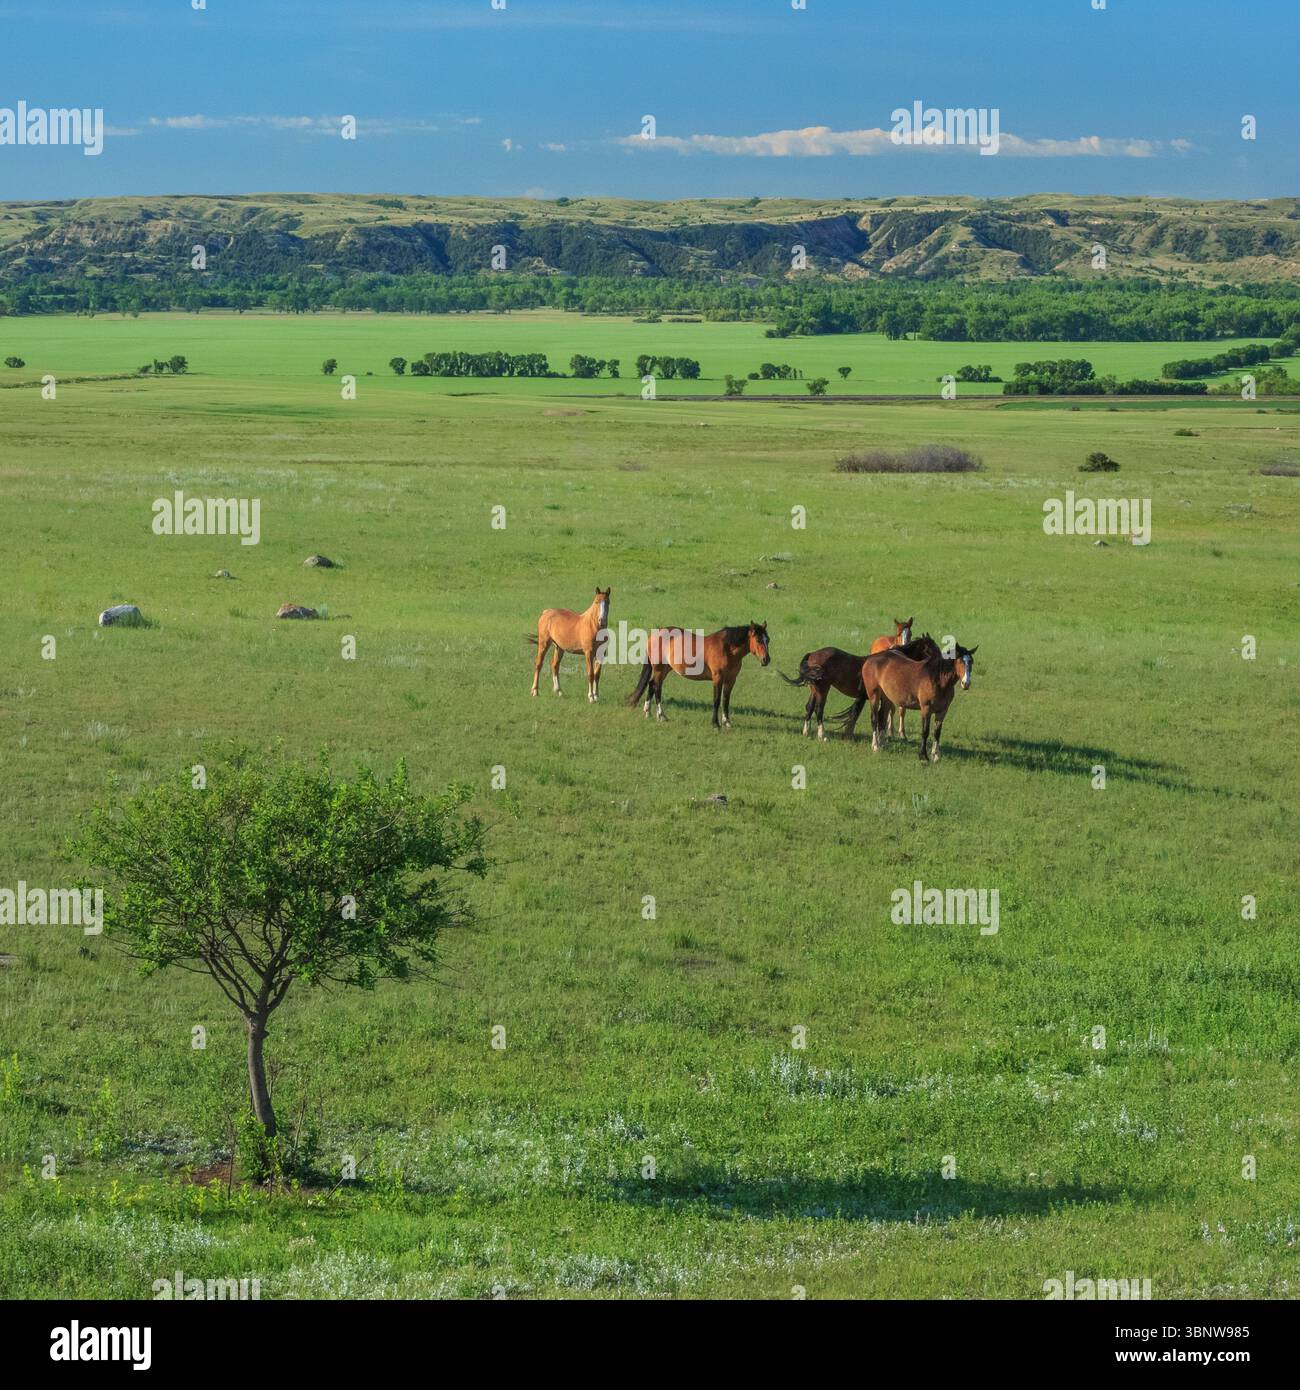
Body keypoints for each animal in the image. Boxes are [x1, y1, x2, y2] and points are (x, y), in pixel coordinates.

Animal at [628, 622, 770, 728]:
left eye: (768, 640)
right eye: (758, 640)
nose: (766, 660)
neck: (727, 649)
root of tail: (656, 633)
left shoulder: (731, 680)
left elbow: (726, 700)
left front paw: (727, 722)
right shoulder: (717, 678)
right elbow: (716, 700)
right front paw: (715, 724)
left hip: (664, 670)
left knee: (651, 685)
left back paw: (649, 713)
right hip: (658, 669)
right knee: (657, 688)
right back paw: (662, 716)